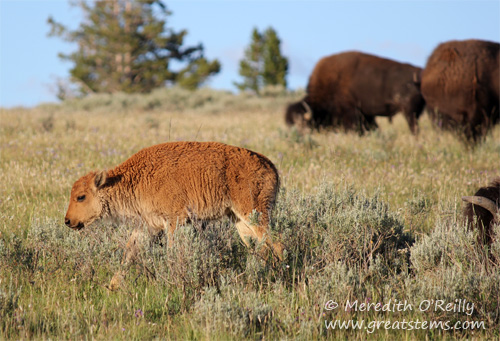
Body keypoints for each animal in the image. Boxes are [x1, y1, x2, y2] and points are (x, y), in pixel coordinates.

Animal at [65, 142, 284, 288]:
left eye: (81, 197)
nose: (68, 221)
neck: (136, 179)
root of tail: (270, 165)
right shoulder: (148, 226)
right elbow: (129, 251)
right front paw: (113, 285)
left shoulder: (174, 220)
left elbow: (171, 251)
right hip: (239, 220)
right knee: (257, 246)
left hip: (254, 213)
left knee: (274, 242)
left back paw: (279, 274)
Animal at [286, 51, 426, 134]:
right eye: (289, 123)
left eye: (302, 123)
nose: (296, 134)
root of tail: (420, 75)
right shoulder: (367, 115)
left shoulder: (351, 112)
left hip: (409, 112)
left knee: (414, 127)